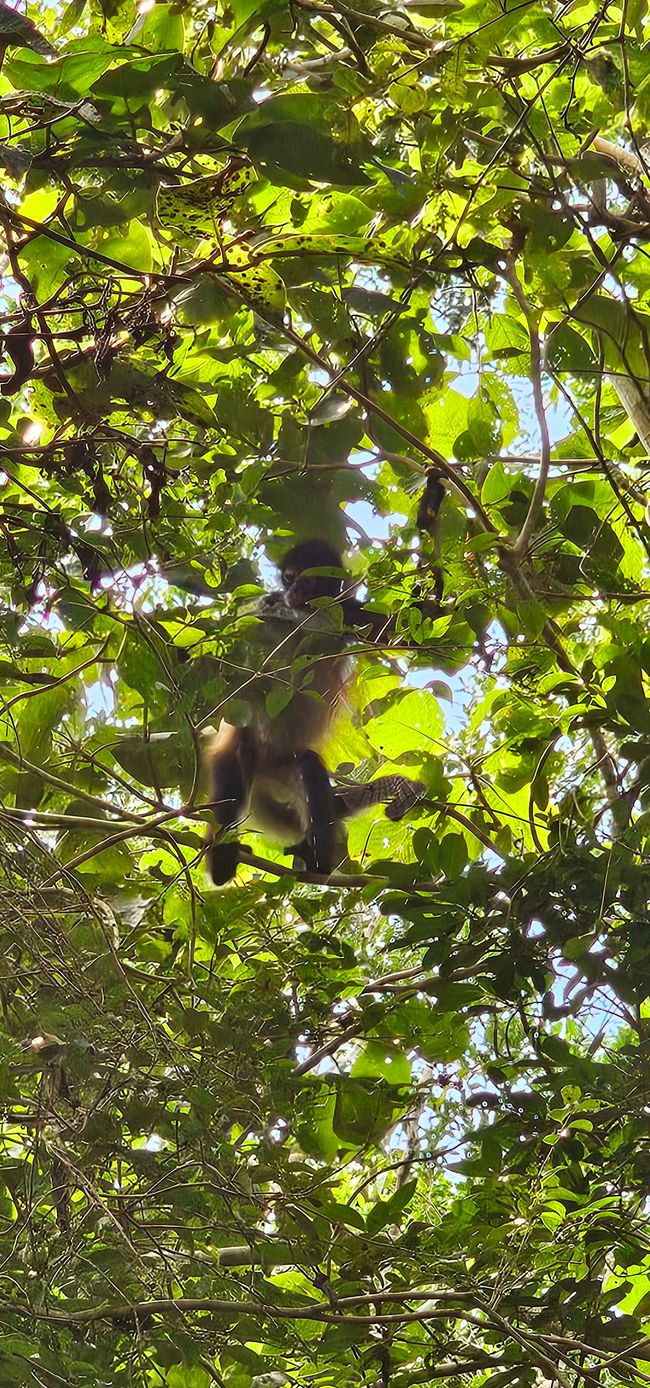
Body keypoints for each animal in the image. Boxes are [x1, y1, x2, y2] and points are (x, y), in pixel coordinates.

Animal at [205, 535, 424, 882]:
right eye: (288, 577)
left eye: (307, 581)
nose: (291, 592)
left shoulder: (347, 612)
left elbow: (412, 633)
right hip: (241, 756)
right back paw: (223, 866)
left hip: (286, 766)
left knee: (308, 765)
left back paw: (318, 862)